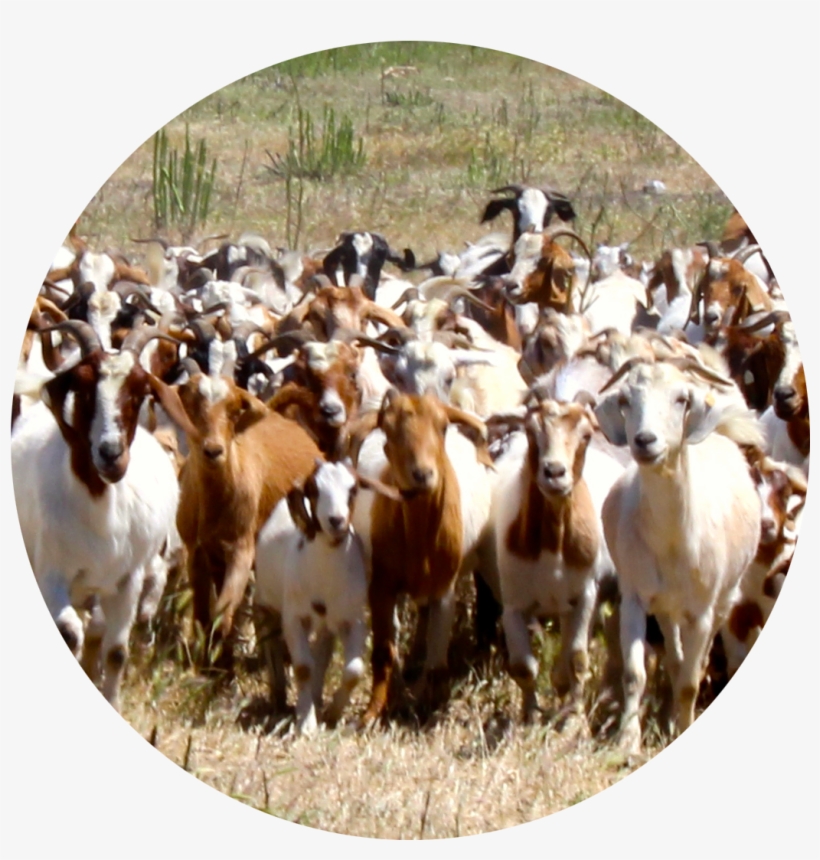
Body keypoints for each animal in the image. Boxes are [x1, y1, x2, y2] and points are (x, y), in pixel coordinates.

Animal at [595, 358, 764, 752]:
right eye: (626, 399)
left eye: (681, 399)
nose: (644, 440)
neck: (670, 542)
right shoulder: (635, 597)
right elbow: (634, 674)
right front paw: (627, 743)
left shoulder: (701, 611)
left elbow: (690, 681)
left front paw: (683, 729)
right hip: (666, 607)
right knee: (674, 659)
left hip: (722, 600)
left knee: (694, 665)